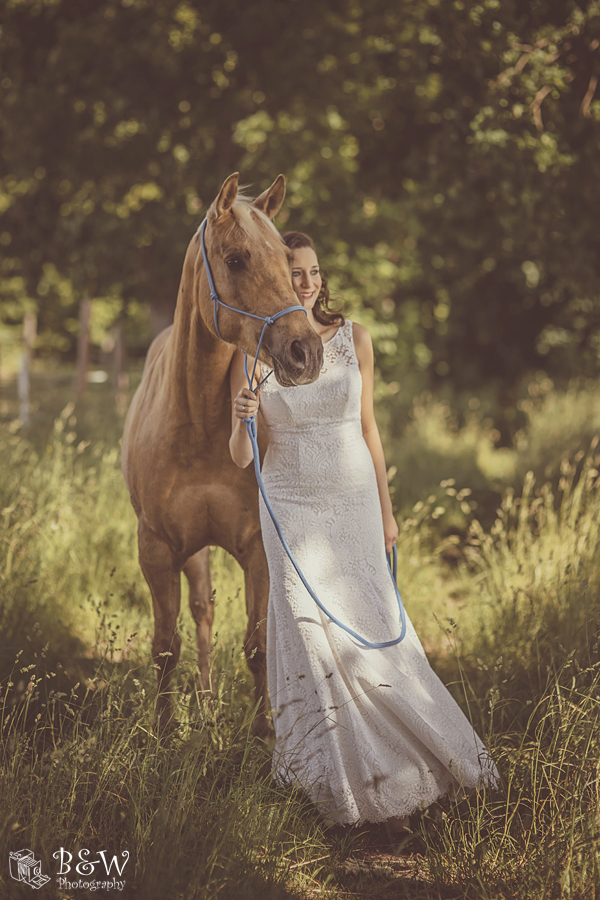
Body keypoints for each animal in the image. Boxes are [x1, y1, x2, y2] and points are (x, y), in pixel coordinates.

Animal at [121, 173, 324, 735]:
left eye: (288, 259)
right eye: (235, 259)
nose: (307, 352)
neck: (197, 424)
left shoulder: (257, 547)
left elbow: (257, 645)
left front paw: (265, 733)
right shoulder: (157, 548)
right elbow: (166, 646)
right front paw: (165, 732)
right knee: (201, 612)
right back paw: (205, 703)